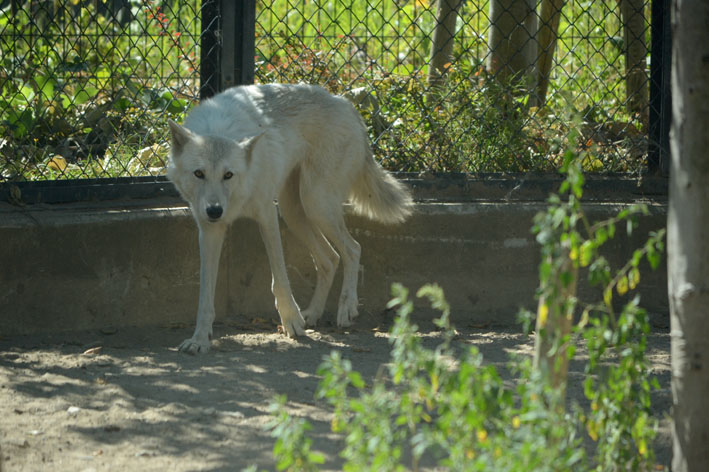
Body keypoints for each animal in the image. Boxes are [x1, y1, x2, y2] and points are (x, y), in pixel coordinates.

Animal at [167, 83, 410, 352]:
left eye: (228, 175)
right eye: (199, 173)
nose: (214, 211)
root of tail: (345, 103)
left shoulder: (266, 214)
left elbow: (280, 279)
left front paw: (291, 321)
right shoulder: (210, 230)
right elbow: (205, 295)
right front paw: (199, 339)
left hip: (316, 204)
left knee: (353, 249)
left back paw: (346, 309)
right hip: (293, 213)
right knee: (330, 259)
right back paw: (313, 314)